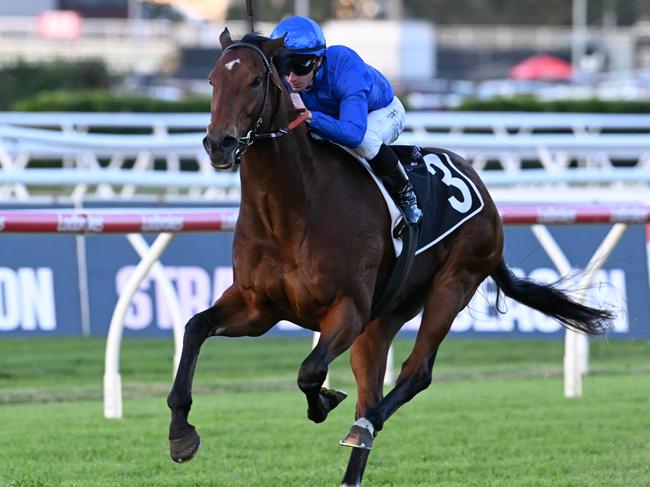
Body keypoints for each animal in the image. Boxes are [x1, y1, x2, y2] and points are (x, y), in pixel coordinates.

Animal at [165, 29, 612, 484]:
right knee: (371, 390)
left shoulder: (347, 309)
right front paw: (181, 433)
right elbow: (195, 327)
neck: (291, 209)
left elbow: (310, 372)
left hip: (454, 283)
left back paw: (364, 426)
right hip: (385, 317)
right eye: (212, 79)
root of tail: (483, 193)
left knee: (415, 374)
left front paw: (324, 401)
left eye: (256, 80)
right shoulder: (258, 307)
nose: (218, 143)